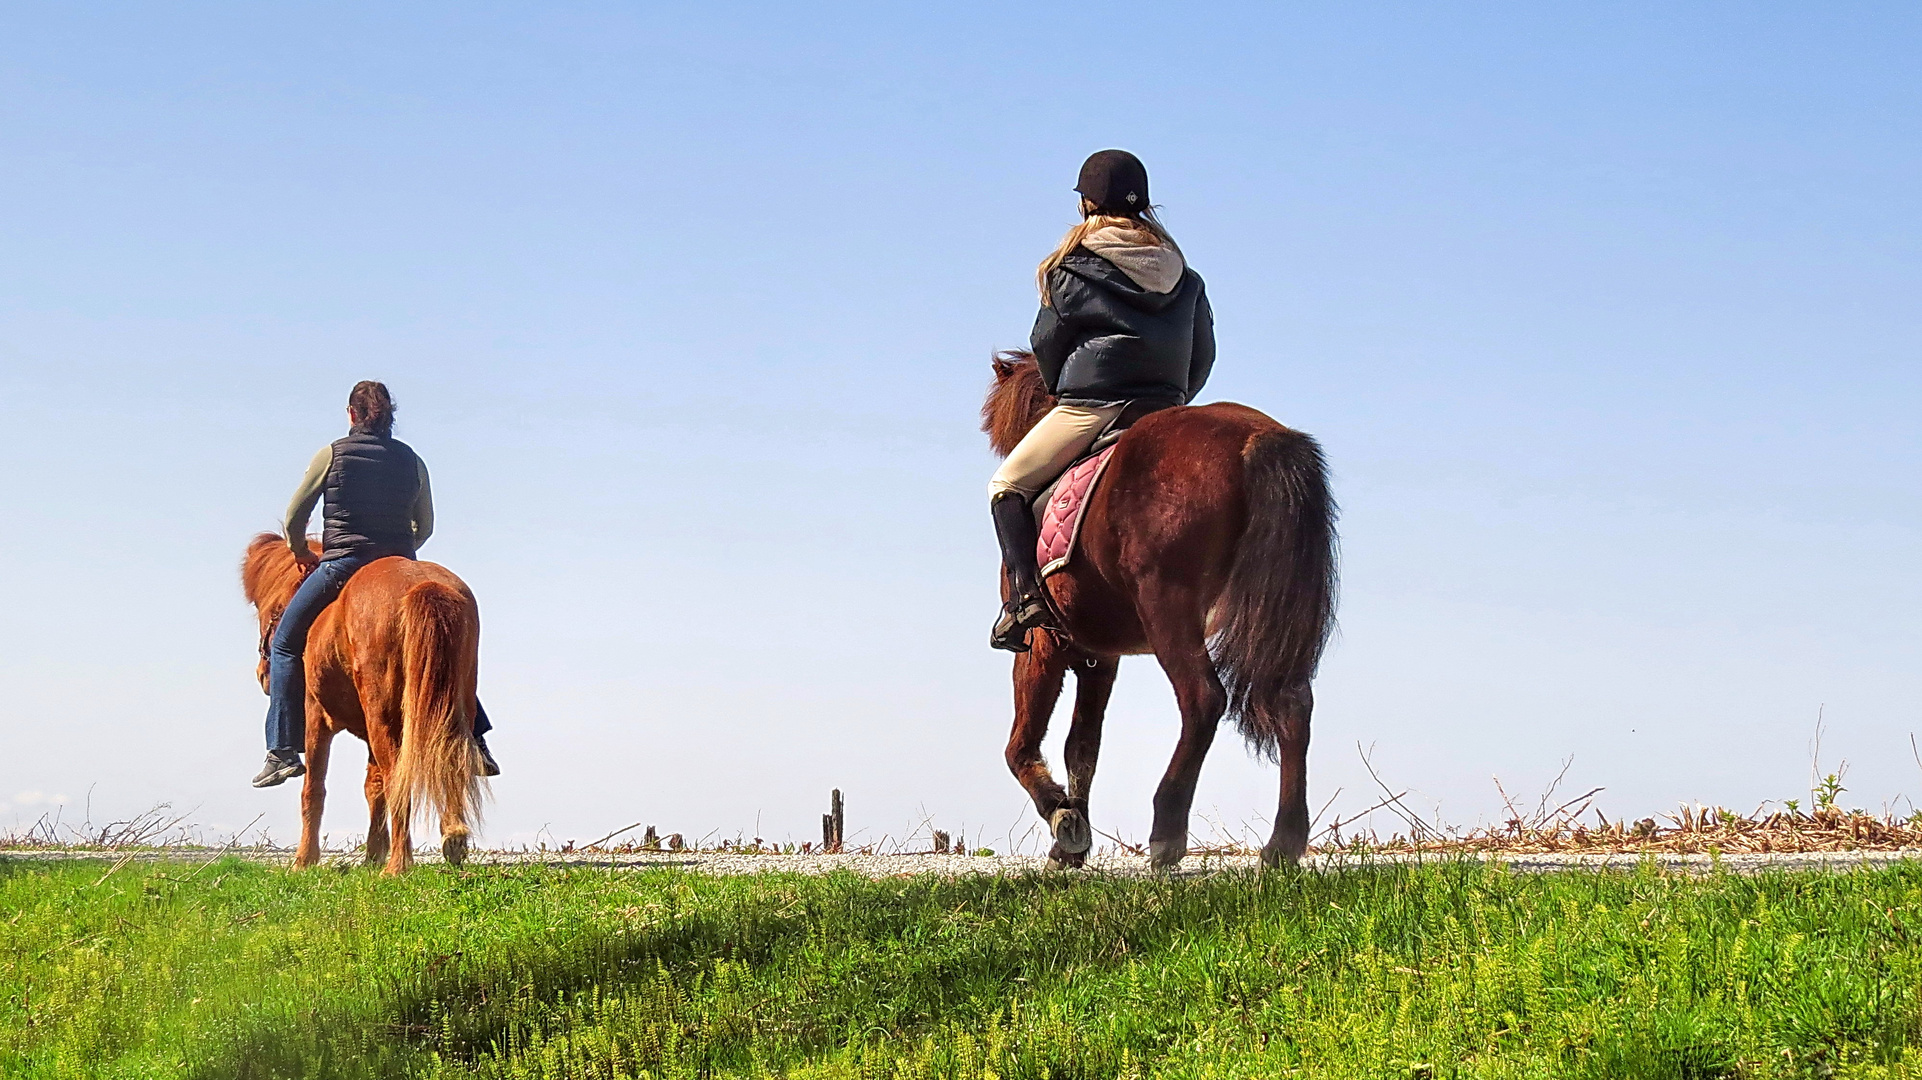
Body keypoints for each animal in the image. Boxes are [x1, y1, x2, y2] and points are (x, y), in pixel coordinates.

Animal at [240, 534, 484, 868]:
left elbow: (313, 789)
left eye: (270, 610)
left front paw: (304, 860)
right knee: (449, 760)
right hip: (447, 710)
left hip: (383, 718)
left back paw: (398, 866)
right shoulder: (369, 733)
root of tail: (421, 584)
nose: (262, 675)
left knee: (399, 779)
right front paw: (372, 855)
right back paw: (453, 838)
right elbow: (373, 788)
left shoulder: (315, 717)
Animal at [984, 351, 1330, 864]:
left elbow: (1020, 747)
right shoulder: (1099, 656)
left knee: (1203, 699)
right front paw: (1072, 841)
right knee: (1291, 703)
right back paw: (1283, 844)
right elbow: (1082, 746)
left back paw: (1167, 830)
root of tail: (1257, 435)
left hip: (1167, 605)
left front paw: (1063, 819)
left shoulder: (1041, 644)